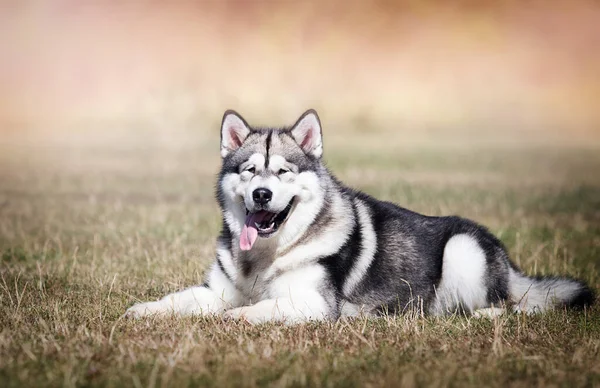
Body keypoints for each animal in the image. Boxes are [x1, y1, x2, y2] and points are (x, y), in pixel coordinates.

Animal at [124, 110, 592, 324]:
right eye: (249, 170)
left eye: (283, 172)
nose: (262, 194)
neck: (267, 256)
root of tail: (509, 263)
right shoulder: (217, 290)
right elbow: (179, 300)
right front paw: (144, 309)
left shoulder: (313, 304)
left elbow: (255, 309)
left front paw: (231, 318)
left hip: (464, 250)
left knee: (508, 306)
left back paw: (475, 314)